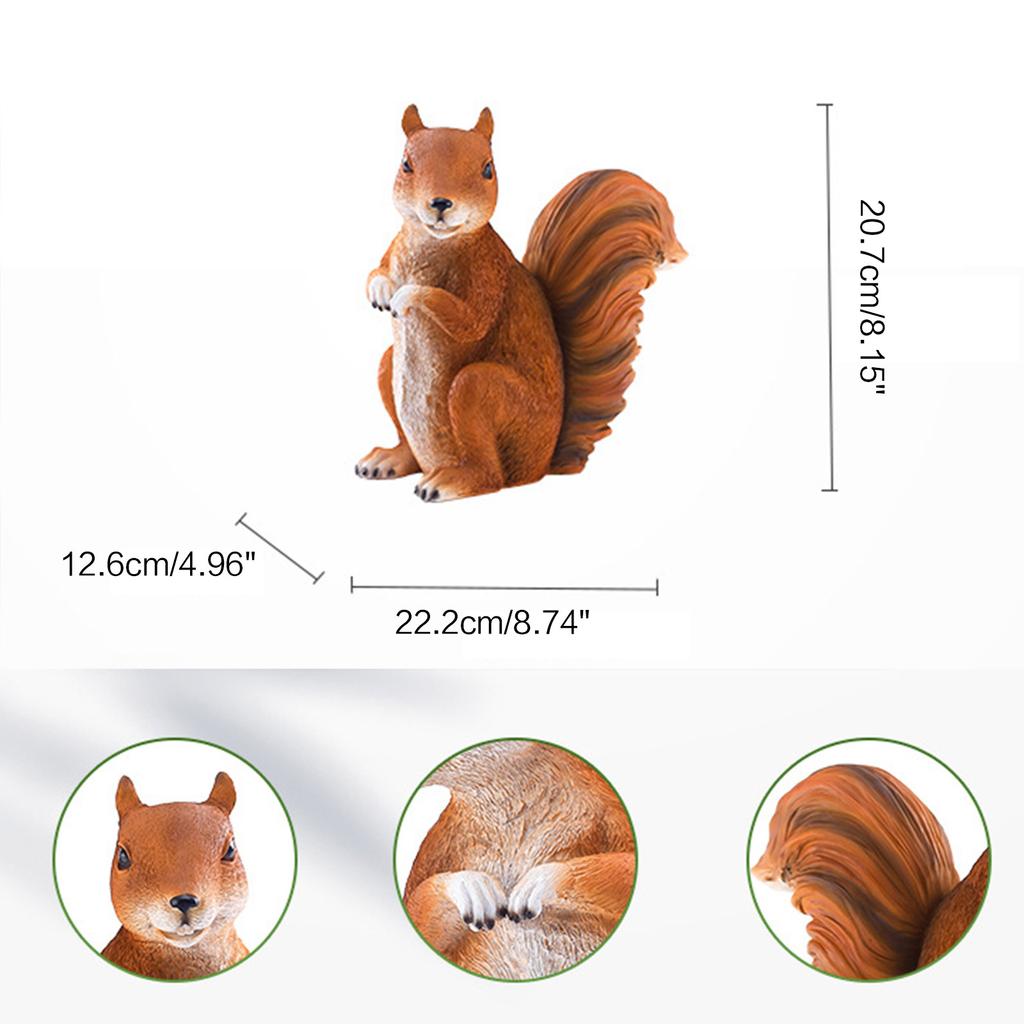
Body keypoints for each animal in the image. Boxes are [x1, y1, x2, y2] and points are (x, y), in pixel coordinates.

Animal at [355, 104, 686, 502]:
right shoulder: (394, 248)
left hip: (479, 390)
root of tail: (542, 464)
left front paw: (406, 296)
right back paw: (389, 459)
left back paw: (449, 482)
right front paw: (380, 290)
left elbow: (467, 319)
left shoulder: (487, 274)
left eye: (488, 169)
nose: (440, 204)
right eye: (405, 164)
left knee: (492, 476)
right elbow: (375, 271)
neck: (431, 241)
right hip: (389, 368)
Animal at [402, 740, 636, 980]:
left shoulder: (605, 806)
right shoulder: (444, 843)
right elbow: (417, 909)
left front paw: (543, 881)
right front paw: (471, 886)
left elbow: (627, 862)